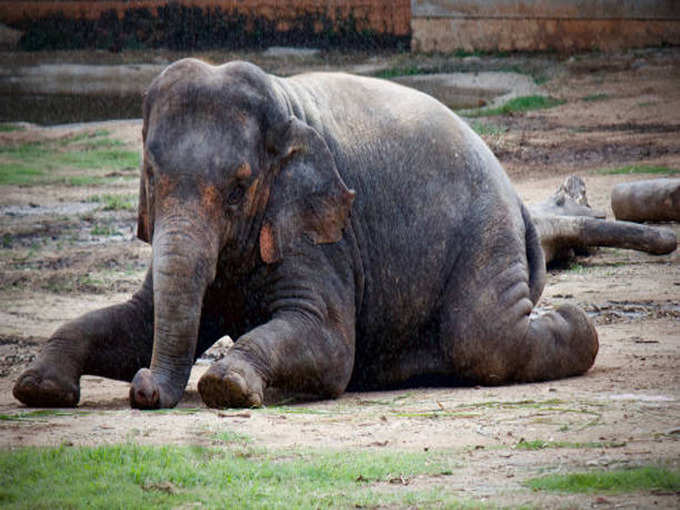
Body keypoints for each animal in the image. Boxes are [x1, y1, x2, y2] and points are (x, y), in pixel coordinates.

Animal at [13, 58, 600, 410]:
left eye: (238, 189)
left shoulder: (322, 228)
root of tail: (517, 198)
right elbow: (137, 323)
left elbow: (327, 342)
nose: (144, 388)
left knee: (483, 338)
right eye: (152, 178)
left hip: (486, 231)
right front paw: (38, 387)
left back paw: (576, 322)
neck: (283, 109)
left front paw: (227, 382)